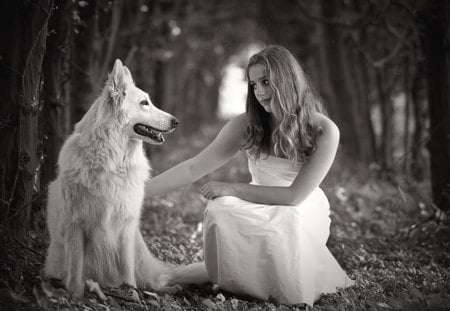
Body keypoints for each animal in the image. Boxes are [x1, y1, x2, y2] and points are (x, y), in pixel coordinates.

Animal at [43, 59, 178, 300]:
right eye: (144, 103)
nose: (176, 121)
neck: (113, 161)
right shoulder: (75, 222)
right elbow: (76, 267)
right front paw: (75, 295)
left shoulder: (125, 224)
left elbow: (127, 269)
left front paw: (132, 295)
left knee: (154, 279)